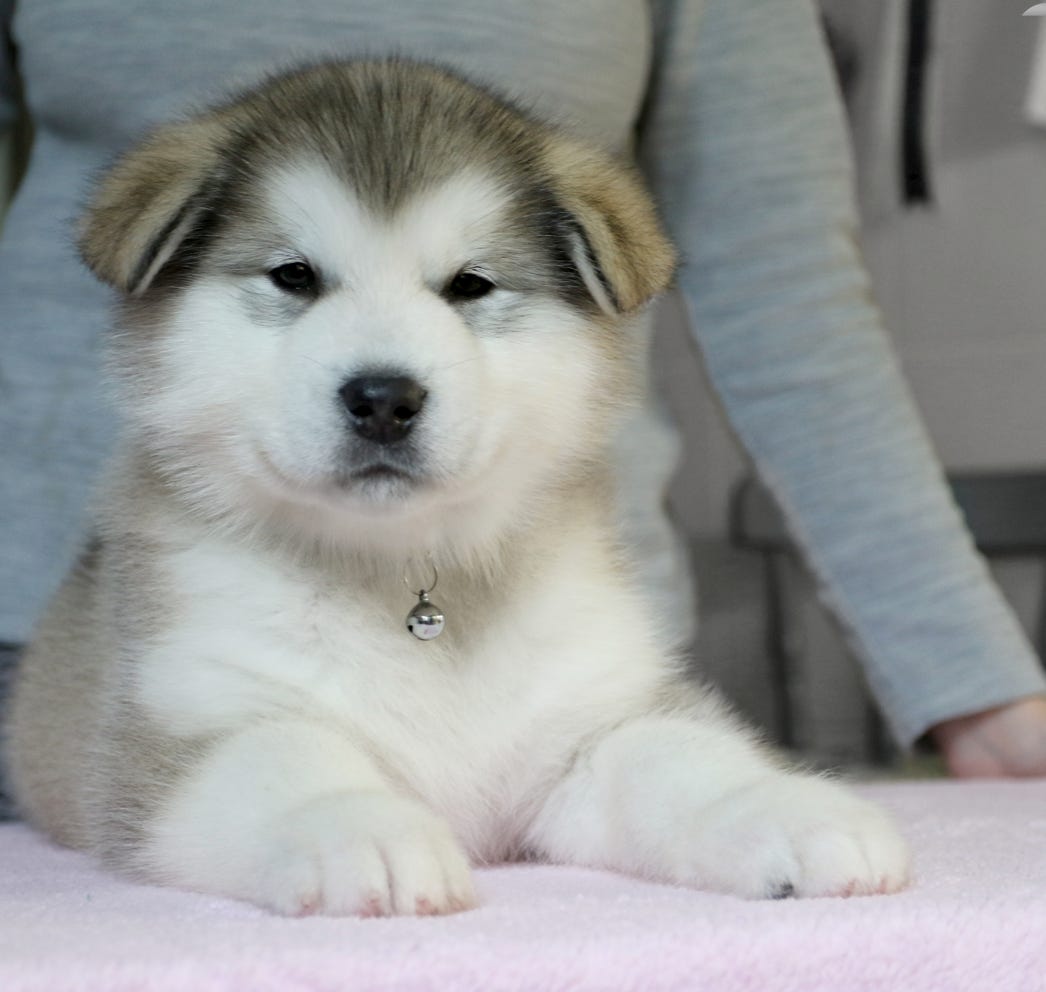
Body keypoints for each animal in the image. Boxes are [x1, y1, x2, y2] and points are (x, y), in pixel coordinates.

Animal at [2, 59, 910, 916]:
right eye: (293, 276)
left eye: (470, 284)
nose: (383, 398)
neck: (405, 584)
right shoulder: (192, 718)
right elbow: (289, 760)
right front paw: (362, 832)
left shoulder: (585, 726)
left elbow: (685, 760)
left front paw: (791, 810)